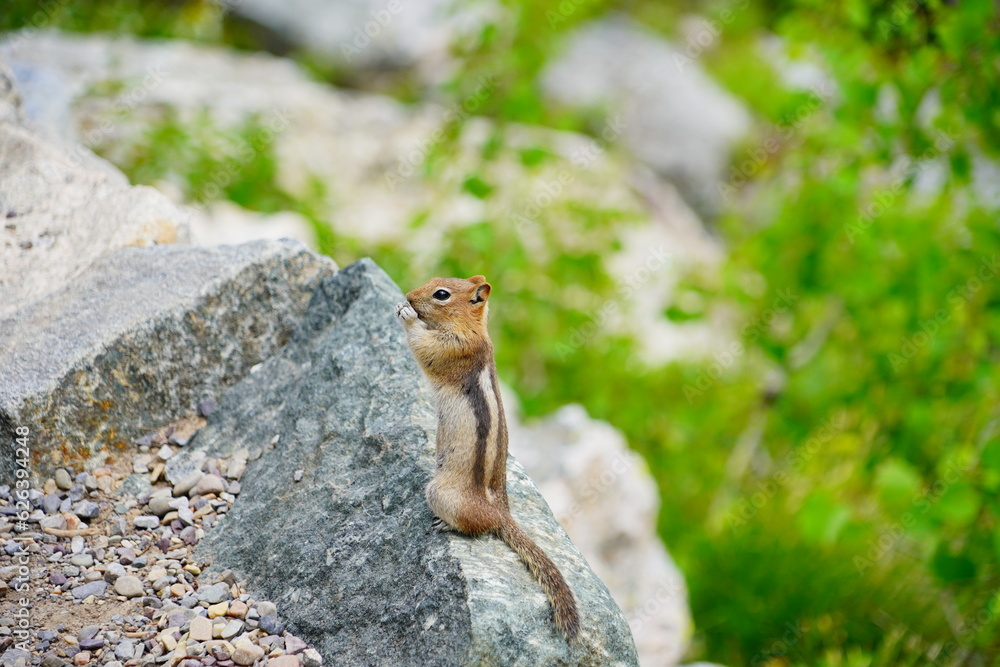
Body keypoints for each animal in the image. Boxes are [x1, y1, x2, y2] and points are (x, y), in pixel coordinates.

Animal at [390, 274, 580, 640]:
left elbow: (424, 347)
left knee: (476, 528)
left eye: (441, 294)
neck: (472, 328)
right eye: (434, 280)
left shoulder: (452, 348)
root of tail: (501, 514)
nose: (408, 295)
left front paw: (407, 315)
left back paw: (446, 525)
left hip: (440, 493)